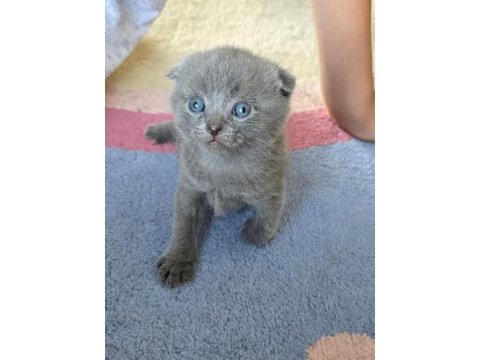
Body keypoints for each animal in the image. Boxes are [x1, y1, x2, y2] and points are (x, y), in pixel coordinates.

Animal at [145, 46, 296, 286]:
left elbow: (268, 215)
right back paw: (157, 131)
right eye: (196, 105)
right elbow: (183, 223)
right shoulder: (189, 186)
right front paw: (177, 261)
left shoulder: (274, 179)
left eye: (242, 109)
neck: (222, 164)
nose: (213, 128)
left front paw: (253, 234)